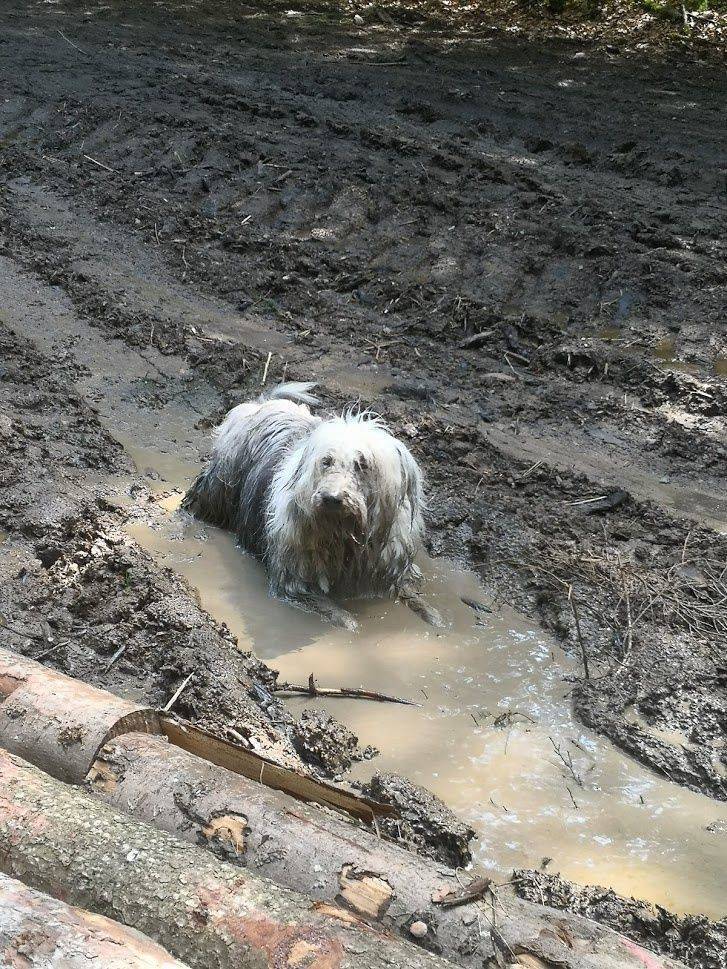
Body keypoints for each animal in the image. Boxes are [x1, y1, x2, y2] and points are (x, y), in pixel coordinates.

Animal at [185, 382, 440, 632]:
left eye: (362, 464)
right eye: (326, 461)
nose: (331, 498)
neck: (345, 536)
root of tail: (261, 403)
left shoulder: (386, 570)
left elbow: (411, 595)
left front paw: (434, 616)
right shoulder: (295, 581)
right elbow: (335, 612)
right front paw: (349, 623)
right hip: (219, 489)